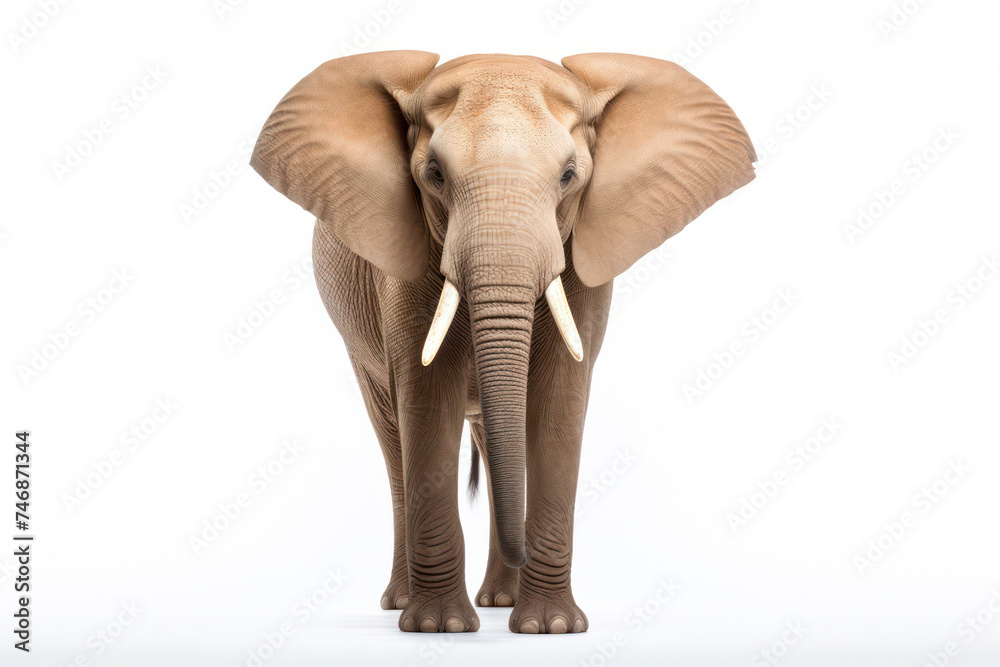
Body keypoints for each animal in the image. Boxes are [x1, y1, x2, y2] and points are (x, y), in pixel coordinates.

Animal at [250, 50, 755, 634]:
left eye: (569, 176)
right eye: (434, 175)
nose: (525, 551)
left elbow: (560, 400)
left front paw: (549, 628)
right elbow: (426, 399)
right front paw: (439, 628)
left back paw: (499, 601)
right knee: (394, 439)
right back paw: (405, 601)